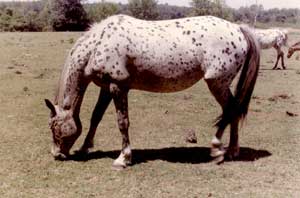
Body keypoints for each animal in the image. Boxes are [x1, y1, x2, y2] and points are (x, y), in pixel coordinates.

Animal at [44, 14, 260, 169]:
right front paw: (85, 148)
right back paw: (231, 151)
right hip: (220, 85)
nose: (56, 155)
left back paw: (216, 149)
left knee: (231, 110)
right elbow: (95, 117)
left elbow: (122, 122)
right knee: (233, 111)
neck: (98, 44)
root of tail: (238, 29)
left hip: (216, 83)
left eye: (53, 127)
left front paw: (123, 158)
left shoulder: (118, 87)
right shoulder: (106, 88)